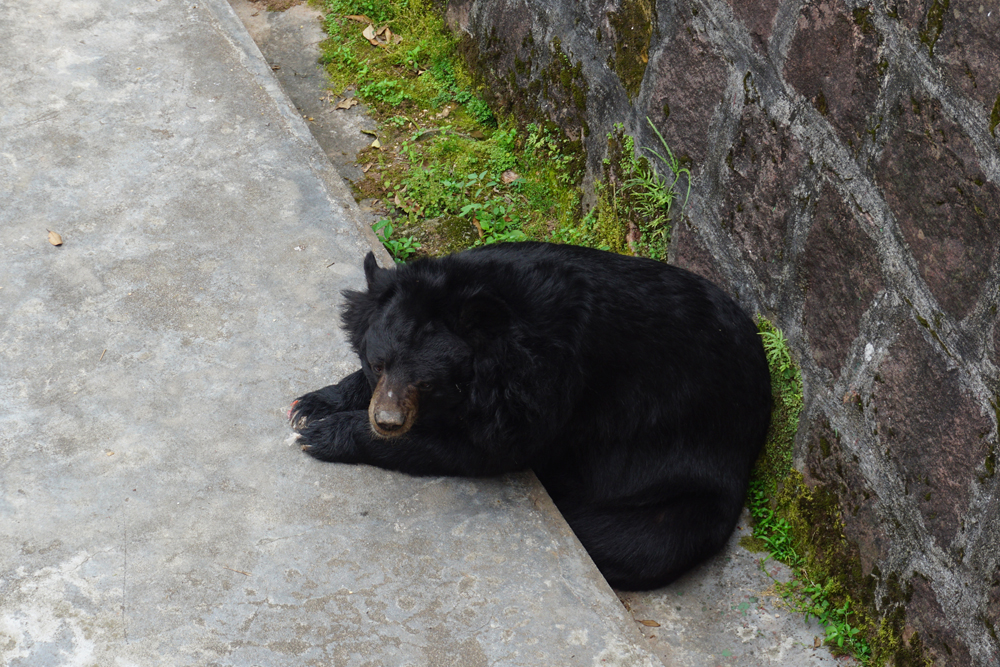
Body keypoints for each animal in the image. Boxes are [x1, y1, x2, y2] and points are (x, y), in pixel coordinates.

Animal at [290, 241, 772, 590]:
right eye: (378, 363)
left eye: (426, 383)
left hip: (684, 485)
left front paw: (324, 434)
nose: (386, 421)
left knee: (640, 544)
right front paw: (311, 405)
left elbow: (477, 448)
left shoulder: (546, 385)